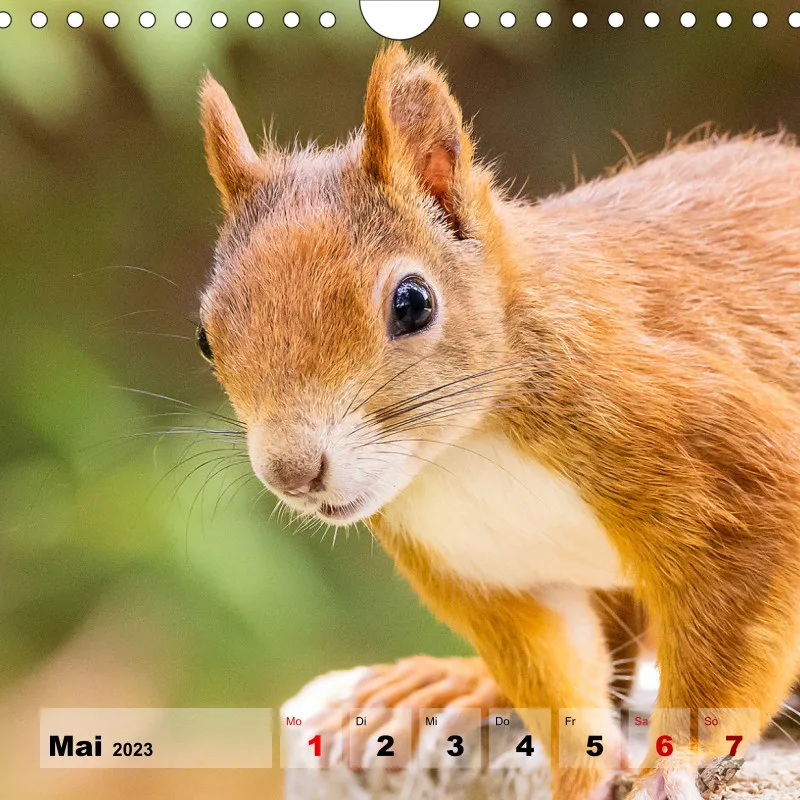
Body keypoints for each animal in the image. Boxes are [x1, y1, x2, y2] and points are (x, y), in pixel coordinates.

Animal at [196, 44, 800, 800]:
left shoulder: (725, 463)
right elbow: (554, 676)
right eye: (204, 337)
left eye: (413, 303)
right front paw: (581, 774)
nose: (293, 472)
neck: (467, 447)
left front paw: (676, 761)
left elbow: (733, 629)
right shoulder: (487, 568)